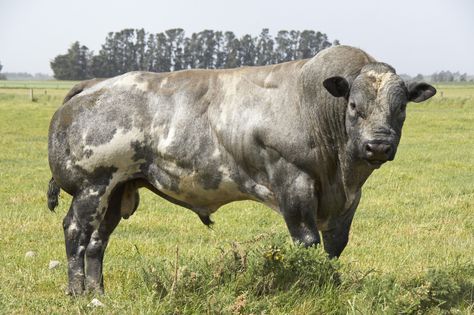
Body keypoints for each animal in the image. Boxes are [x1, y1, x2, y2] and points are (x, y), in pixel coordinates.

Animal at [46, 45, 436, 296]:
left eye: (401, 108)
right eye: (354, 106)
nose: (378, 146)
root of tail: (94, 84)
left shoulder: (346, 201)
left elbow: (334, 246)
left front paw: (333, 286)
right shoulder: (293, 183)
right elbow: (307, 242)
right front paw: (311, 286)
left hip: (115, 190)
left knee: (97, 241)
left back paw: (99, 292)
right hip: (93, 185)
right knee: (76, 232)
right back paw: (77, 293)